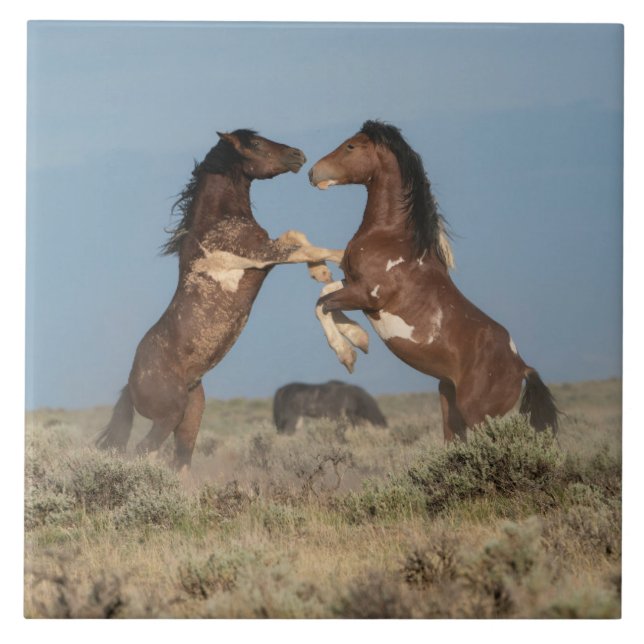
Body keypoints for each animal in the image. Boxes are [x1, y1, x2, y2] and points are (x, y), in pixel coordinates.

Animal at [96, 129, 347, 470]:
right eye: (254, 143)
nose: (298, 155)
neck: (217, 222)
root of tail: (131, 384)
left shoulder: (268, 252)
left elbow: (299, 239)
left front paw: (321, 272)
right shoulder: (263, 254)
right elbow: (304, 245)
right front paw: (343, 258)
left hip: (190, 417)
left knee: (179, 463)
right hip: (167, 417)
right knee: (141, 452)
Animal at [308, 120, 558, 440]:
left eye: (350, 146)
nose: (313, 172)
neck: (391, 237)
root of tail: (521, 366)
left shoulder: (368, 295)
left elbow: (322, 305)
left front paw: (348, 354)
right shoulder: (351, 283)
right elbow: (324, 295)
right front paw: (359, 339)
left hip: (477, 415)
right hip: (448, 401)